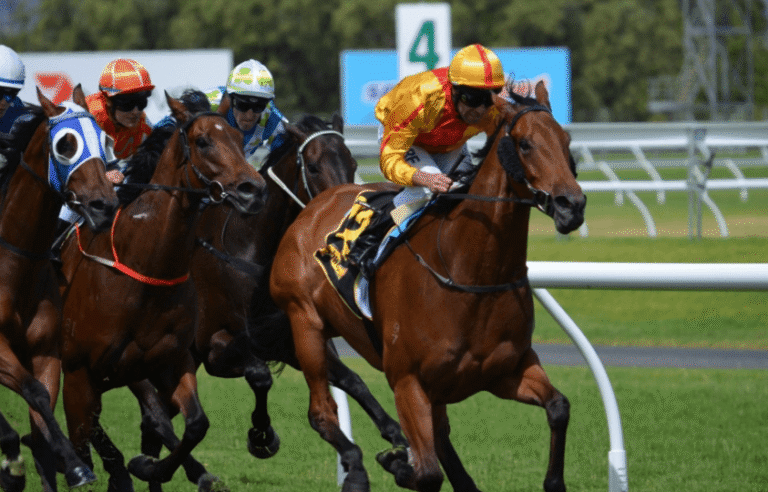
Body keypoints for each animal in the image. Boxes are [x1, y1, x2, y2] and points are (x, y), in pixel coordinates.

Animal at [0, 85, 119, 492]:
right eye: (65, 144)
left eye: (105, 141)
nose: (103, 205)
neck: (15, 265)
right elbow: (33, 395)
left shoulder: (46, 352)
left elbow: (42, 417)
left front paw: (71, 466)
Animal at [56, 92, 267, 492]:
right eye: (203, 141)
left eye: (238, 137)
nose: (252, 189)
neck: (147, 267)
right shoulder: (98, 368)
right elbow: (152, 419)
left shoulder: (171, 361)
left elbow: (194, 423)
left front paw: (151, 467)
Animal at [269, 81, 586, 492]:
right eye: (526, 143)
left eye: (566, 140)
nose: (571, 205)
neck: (470, 273)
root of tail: (314, 205)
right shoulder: (408, 381)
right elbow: (427, 472)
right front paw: (397, 462)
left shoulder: (505, 371)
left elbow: (559, 407)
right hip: (305, 323)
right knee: (322, 413)